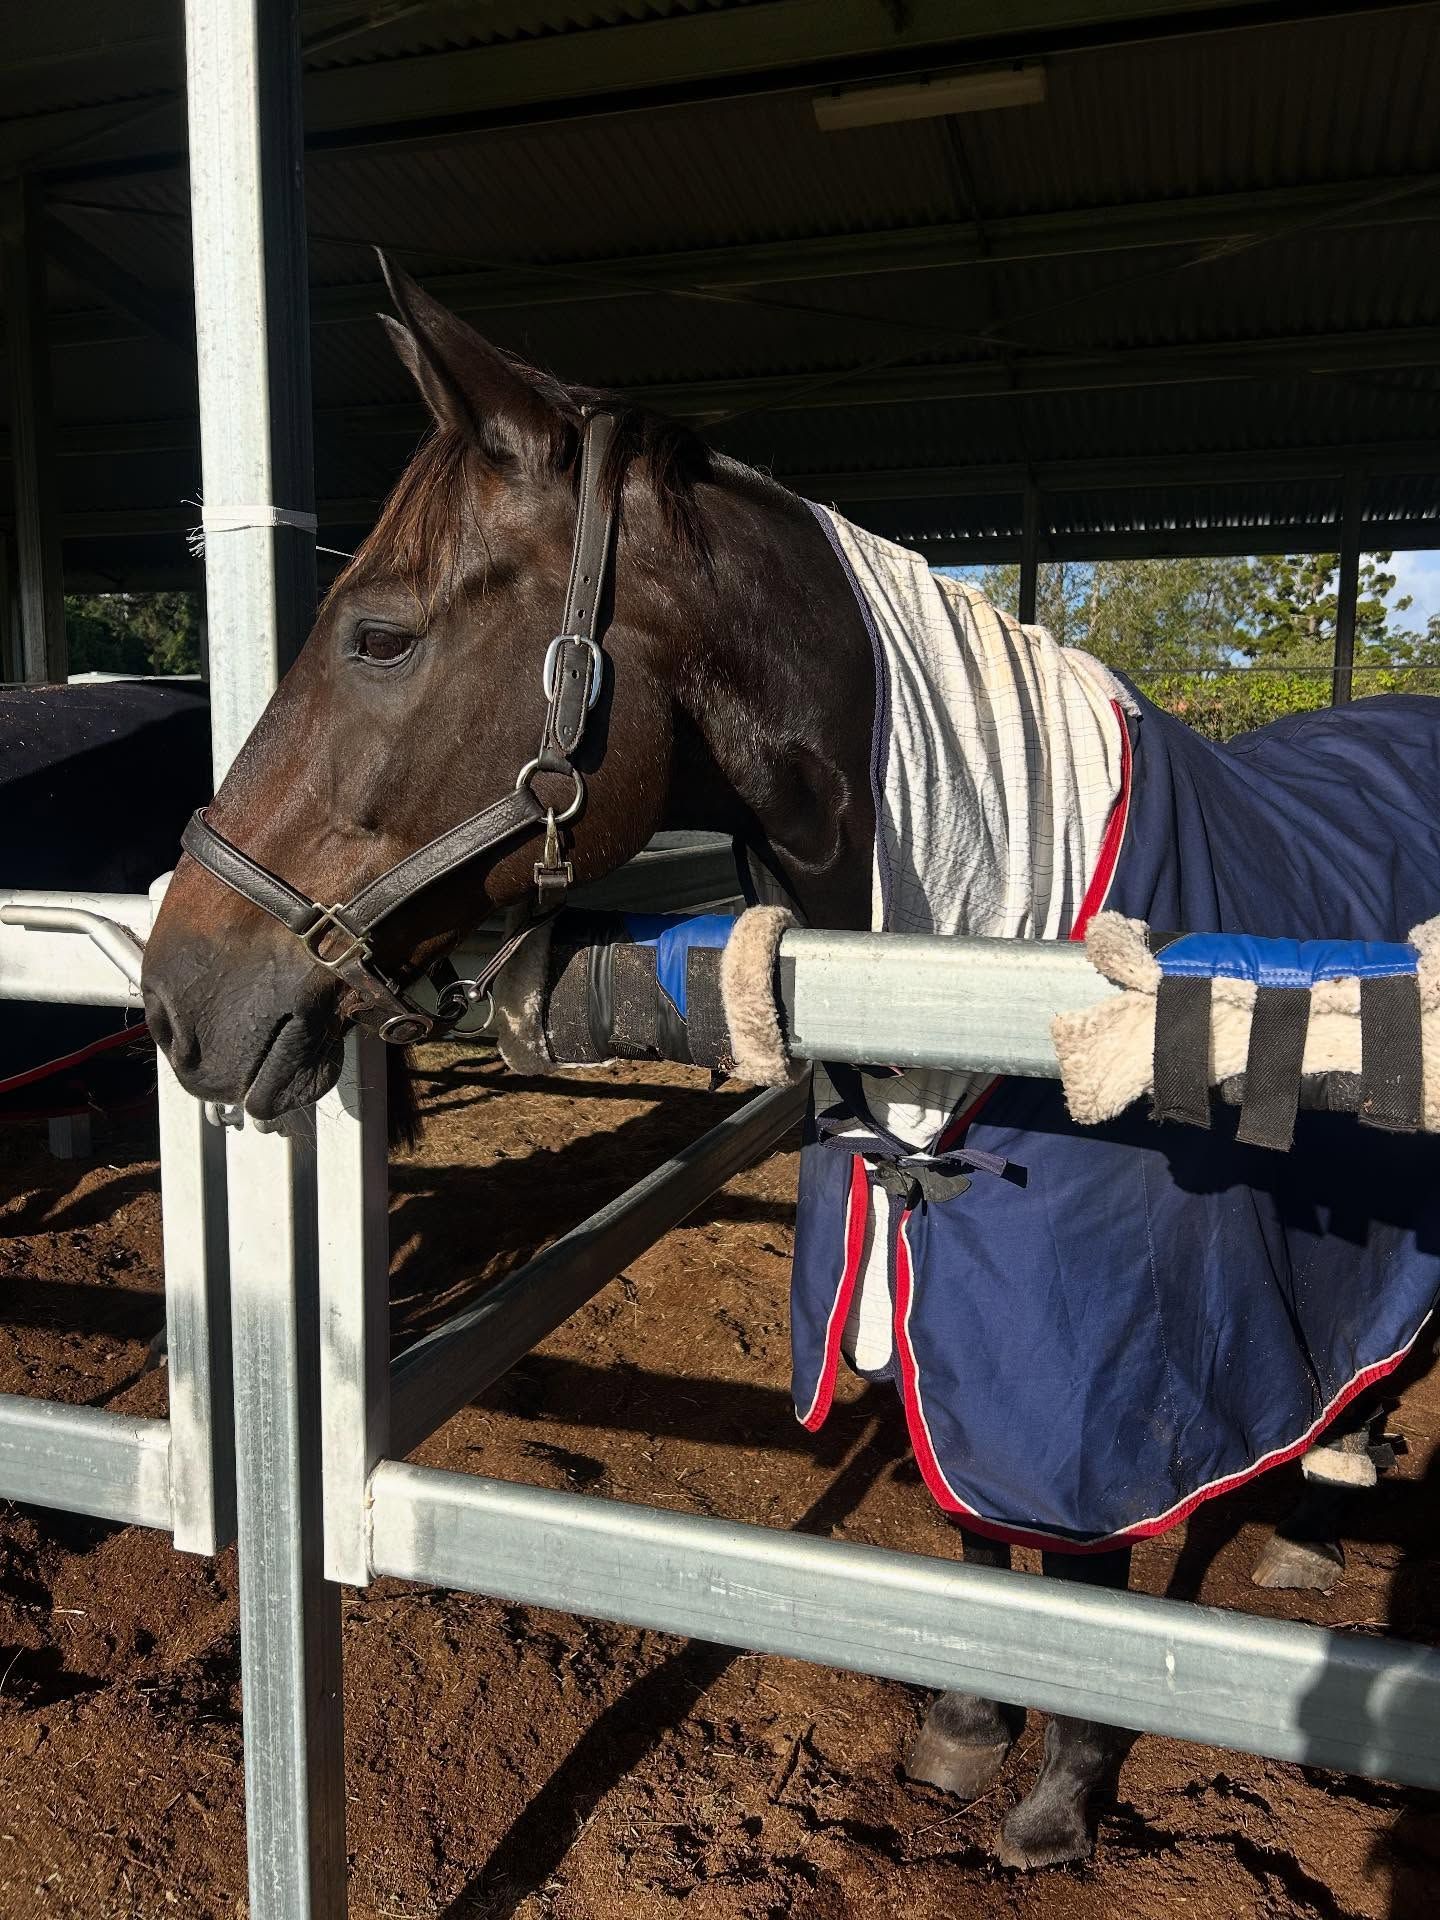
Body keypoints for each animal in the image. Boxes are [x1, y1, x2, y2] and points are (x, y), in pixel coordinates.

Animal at [142, 261, 1440, 1871]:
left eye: (378, 634)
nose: (177, 997)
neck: (997, 948)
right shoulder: (941, 1280)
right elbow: (973, 1507)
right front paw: (968, 1723)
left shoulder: (1110, 1360)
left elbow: (1082, 1565)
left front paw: (1062, 1791)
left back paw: (1321, 1516)